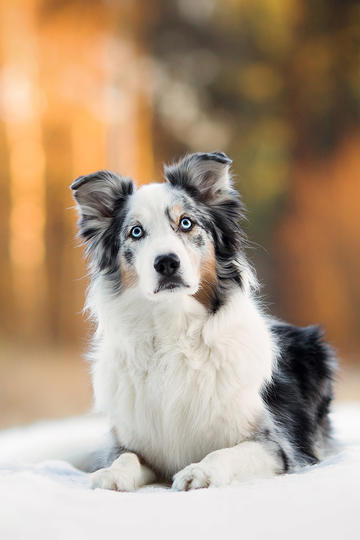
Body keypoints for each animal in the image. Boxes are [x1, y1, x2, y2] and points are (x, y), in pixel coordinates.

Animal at [71, 150, 336, 492]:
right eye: (136, 232)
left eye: (186, 223)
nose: (167, 263)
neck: (173, 329)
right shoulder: (131, 443)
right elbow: (125, 457)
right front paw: (112, 474)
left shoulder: (277, 446)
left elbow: (226, 453)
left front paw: (200, 471)